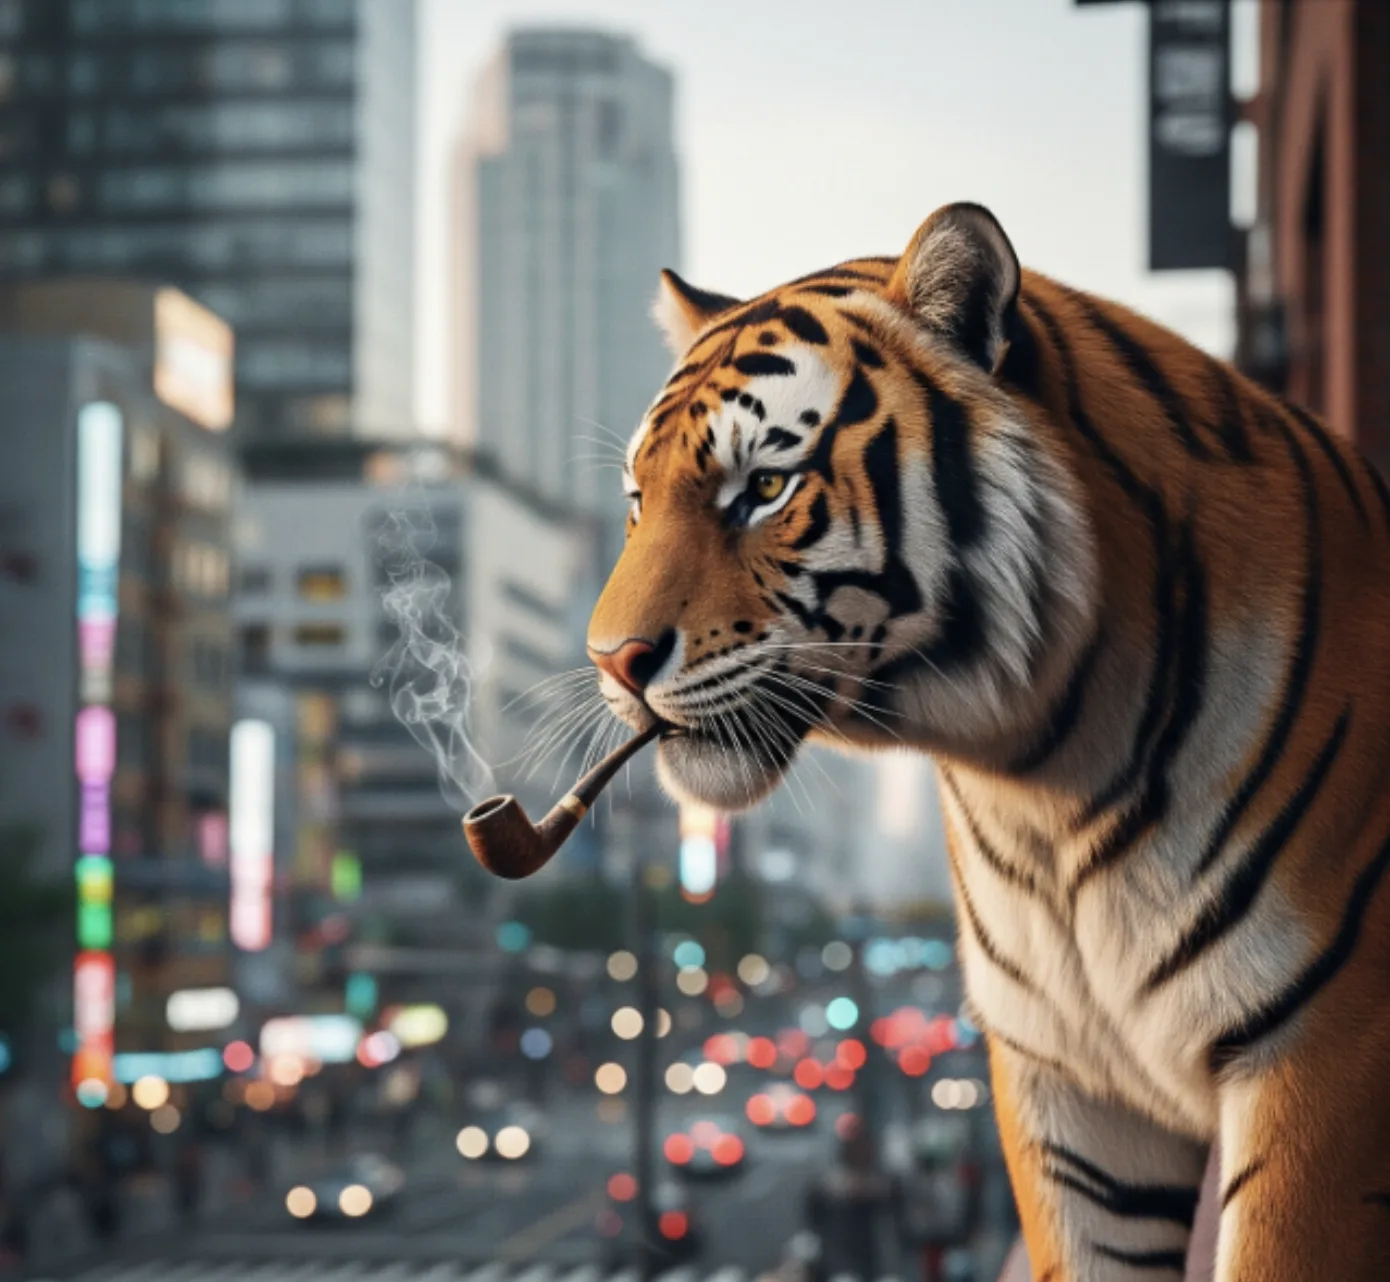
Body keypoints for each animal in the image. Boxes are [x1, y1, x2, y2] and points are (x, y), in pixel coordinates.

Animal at [584, 202, 1390, 1280]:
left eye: (764, 487)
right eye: (638, 501)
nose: (611, 659)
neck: (1047, 774)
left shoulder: (1323, 1050)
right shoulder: (1064, 1076)